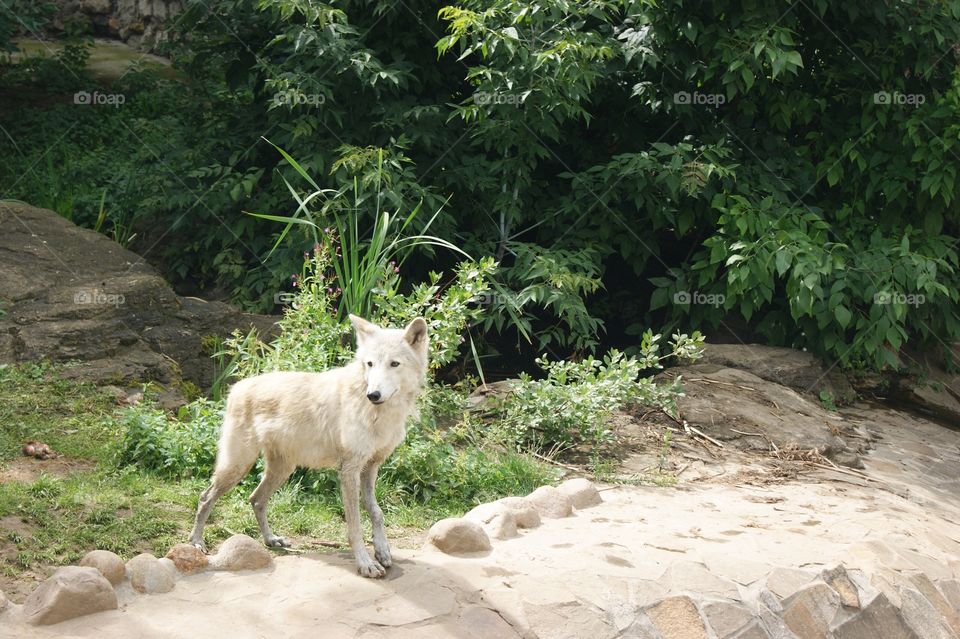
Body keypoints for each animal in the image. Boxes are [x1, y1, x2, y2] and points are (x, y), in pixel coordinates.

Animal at [188, 314, 428, 578]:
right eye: (370, 364)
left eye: (394, 364)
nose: (373, 394)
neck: (379, 413)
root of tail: (237, 386)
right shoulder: (349, 470)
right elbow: (355, 525)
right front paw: (365, 563)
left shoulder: (371, 466)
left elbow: (376, 512)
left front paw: (383, 551)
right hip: (238, 466)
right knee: (205, 497)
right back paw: (196, 542)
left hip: (282, 470)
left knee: (256, 499)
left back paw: (271, 540)